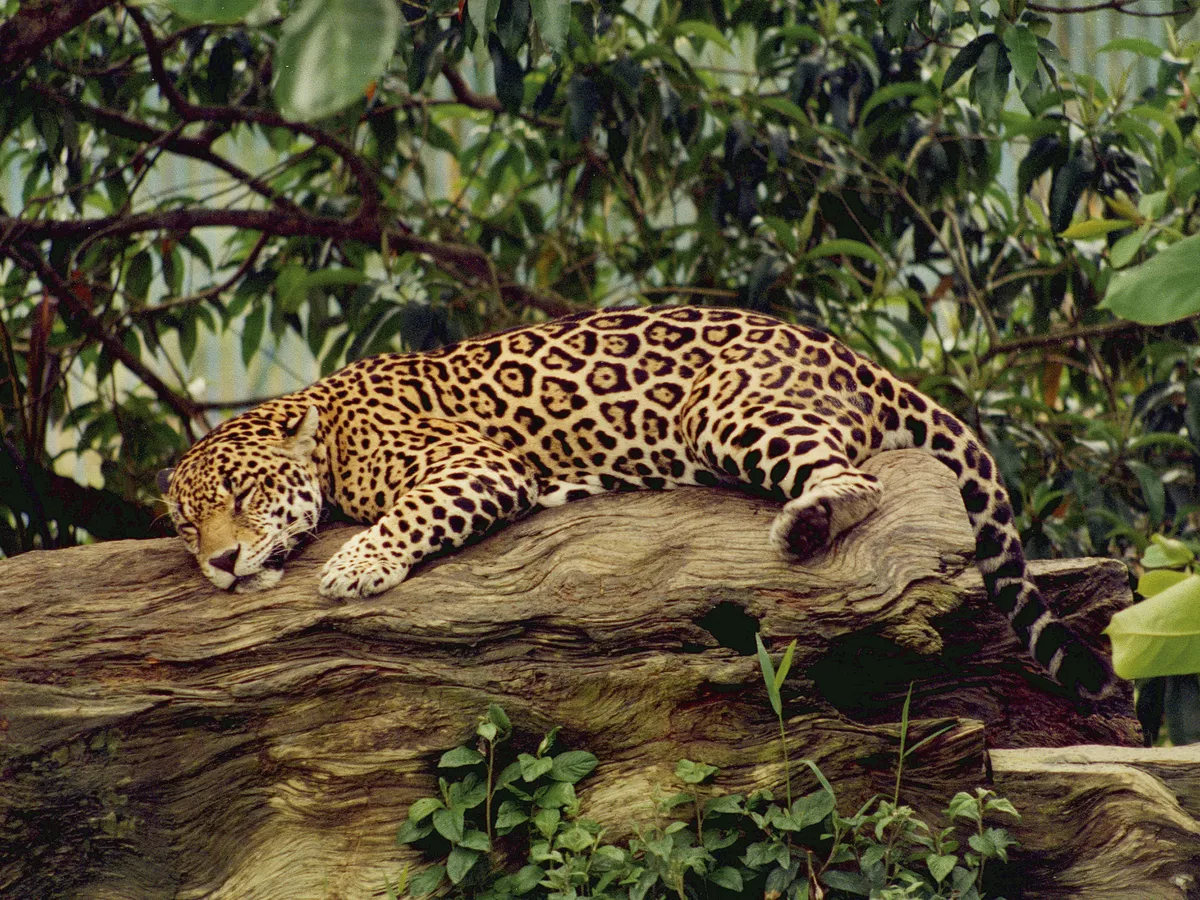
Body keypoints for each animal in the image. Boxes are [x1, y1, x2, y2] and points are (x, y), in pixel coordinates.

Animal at [159, 305, 1115, 699]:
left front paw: (356, 566)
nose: (222, 561)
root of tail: (847, 351)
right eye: (187, 522)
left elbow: (410, 514)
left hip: (730, 410)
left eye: (244, 493)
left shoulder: (475, 466)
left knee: (860, 477)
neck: (329, 434)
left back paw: (808, 520)